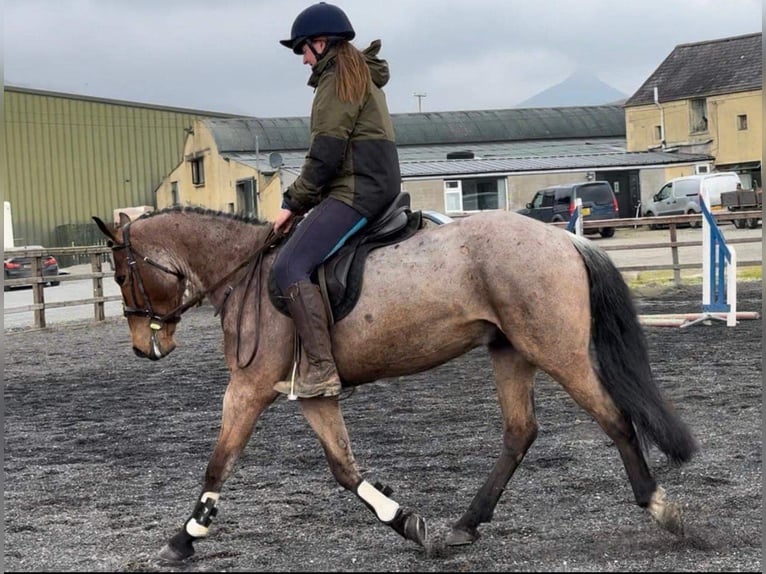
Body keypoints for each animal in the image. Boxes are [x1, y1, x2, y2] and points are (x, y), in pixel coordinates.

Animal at [93, 206, 700, 564]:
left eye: (121, 273)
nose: (144, 346)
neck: (245, 275)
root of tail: (565, 241)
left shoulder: (247, 387)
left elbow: (218, 463)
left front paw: (184, 538)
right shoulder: (312, 393)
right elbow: (344, 469)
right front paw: (406, 522)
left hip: (557, 351)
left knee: (614, 418)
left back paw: (662, 509)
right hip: (510, 351)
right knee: (519, 433)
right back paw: (463, 527)